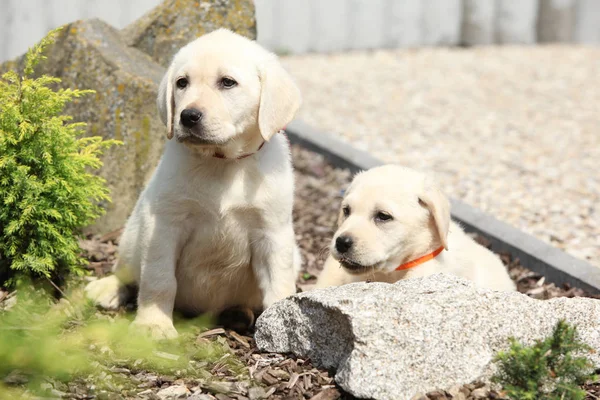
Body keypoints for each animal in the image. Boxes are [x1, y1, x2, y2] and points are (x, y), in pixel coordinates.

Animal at [85, 29, 300, 340]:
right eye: (182, 83)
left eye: (227, 82)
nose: (188, 116)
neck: (221, 162)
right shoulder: (164, 225)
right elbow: (159, 279)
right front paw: (154, 324)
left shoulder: (272, 231)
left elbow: (279, 283)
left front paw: (282, 327)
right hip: (131, 237)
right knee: (127, 272)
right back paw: (108, 287)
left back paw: (237, 314)